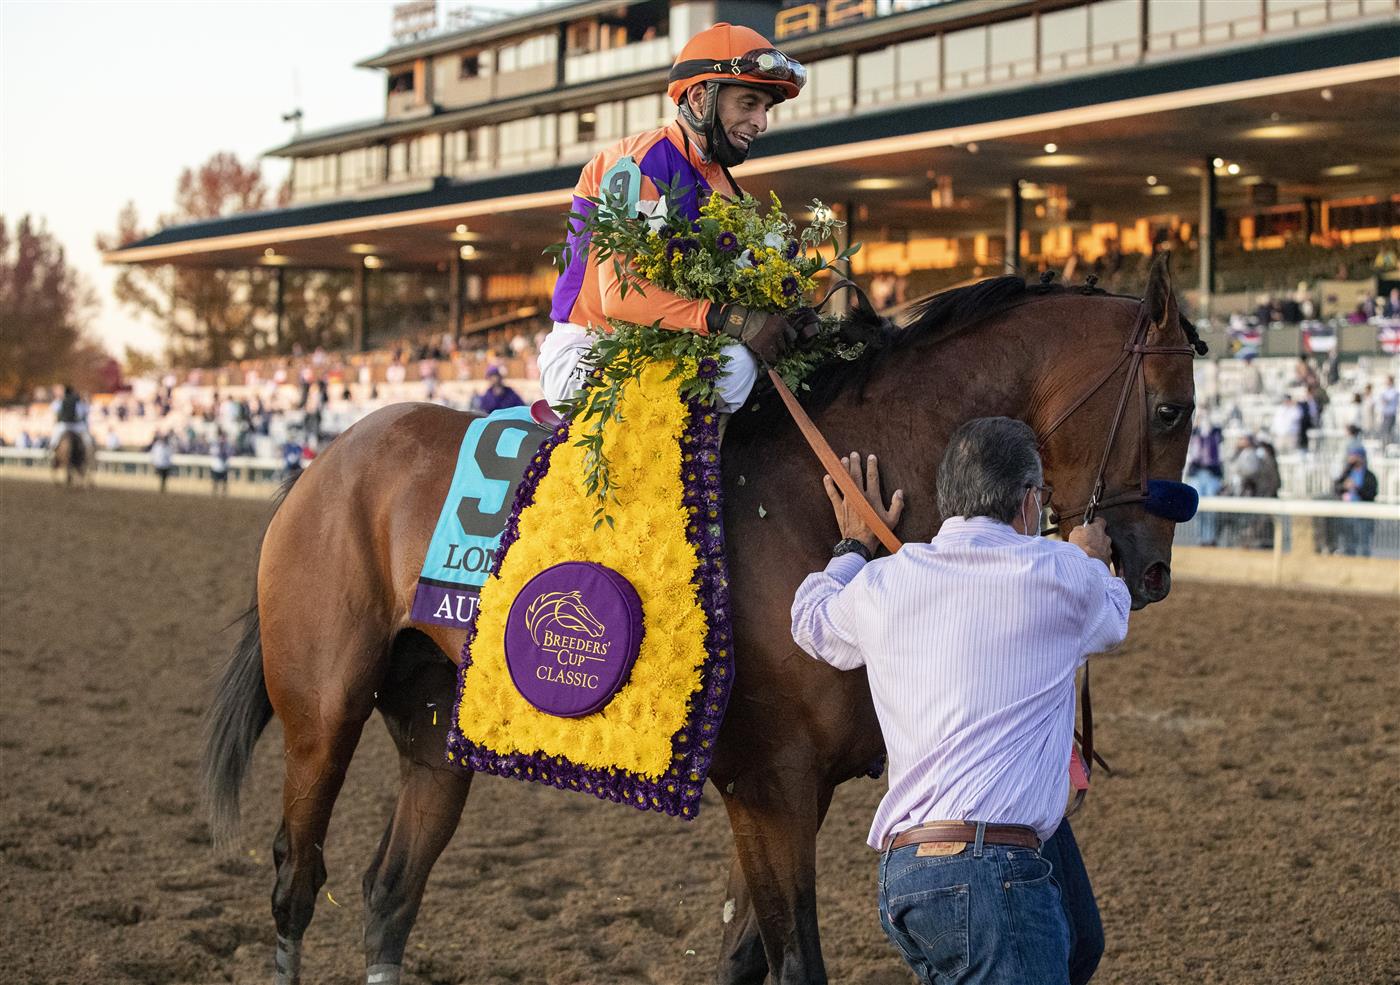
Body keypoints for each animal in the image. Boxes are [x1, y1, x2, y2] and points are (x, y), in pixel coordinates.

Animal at [203, 256, 1198, 985]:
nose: (1151, 568)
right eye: (1170, 408)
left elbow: (741, 956)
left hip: (438, 729)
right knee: (297, 878)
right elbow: (795, 963)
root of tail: (328, 456)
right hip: (321, 713)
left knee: (390, 890)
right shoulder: (770, 786)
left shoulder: (787, 793)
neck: (822, 486)